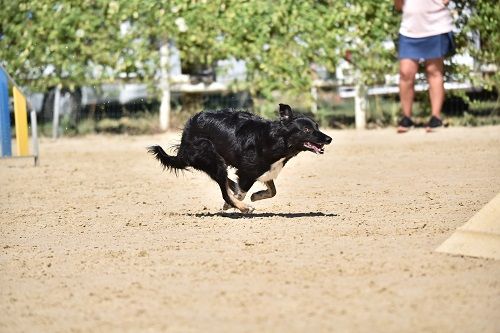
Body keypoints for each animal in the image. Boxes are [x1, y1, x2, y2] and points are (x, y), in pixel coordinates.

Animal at [148, 104, 332, 211]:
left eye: (317, 126)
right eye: (307, 130)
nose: (329, 139)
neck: (276, 139)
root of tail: (185, 138)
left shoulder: (264, 170)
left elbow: (273, 191)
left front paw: (256, 196)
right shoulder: (248, 172)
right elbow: (241, 193)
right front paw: (235, 203)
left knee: (226, 183)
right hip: (213, 159)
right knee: (224, 189)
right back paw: (241, 206)